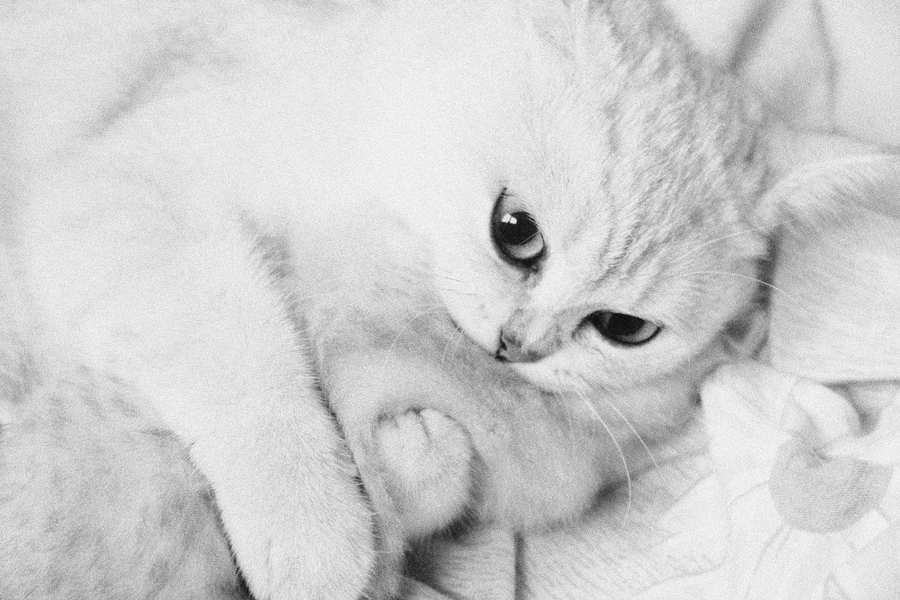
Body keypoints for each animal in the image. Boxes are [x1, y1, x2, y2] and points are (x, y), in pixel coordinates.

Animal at [1, 0, 896, 598]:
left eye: (623, 327)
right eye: (514, 231)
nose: (518, 346)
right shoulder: (123, 187)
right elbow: (235, 350)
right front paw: (312, 530)